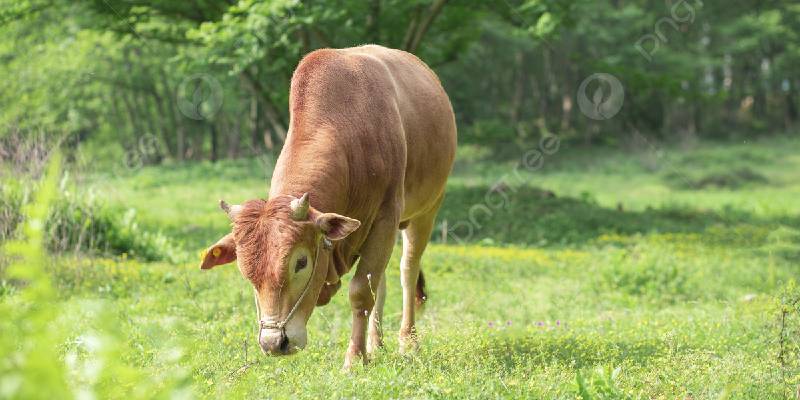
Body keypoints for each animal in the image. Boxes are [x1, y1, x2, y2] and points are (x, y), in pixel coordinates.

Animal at [198, 44, 456, 368]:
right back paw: (376, 343)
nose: (274, 343)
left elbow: (361, 292)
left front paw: (354, 359)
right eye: (246, 273)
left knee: (407, 271)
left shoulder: (386, 217)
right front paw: (365, 351)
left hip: (427, 210)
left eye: (301, 262)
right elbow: (371, 286)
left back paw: (407, 340)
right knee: (382, 280)